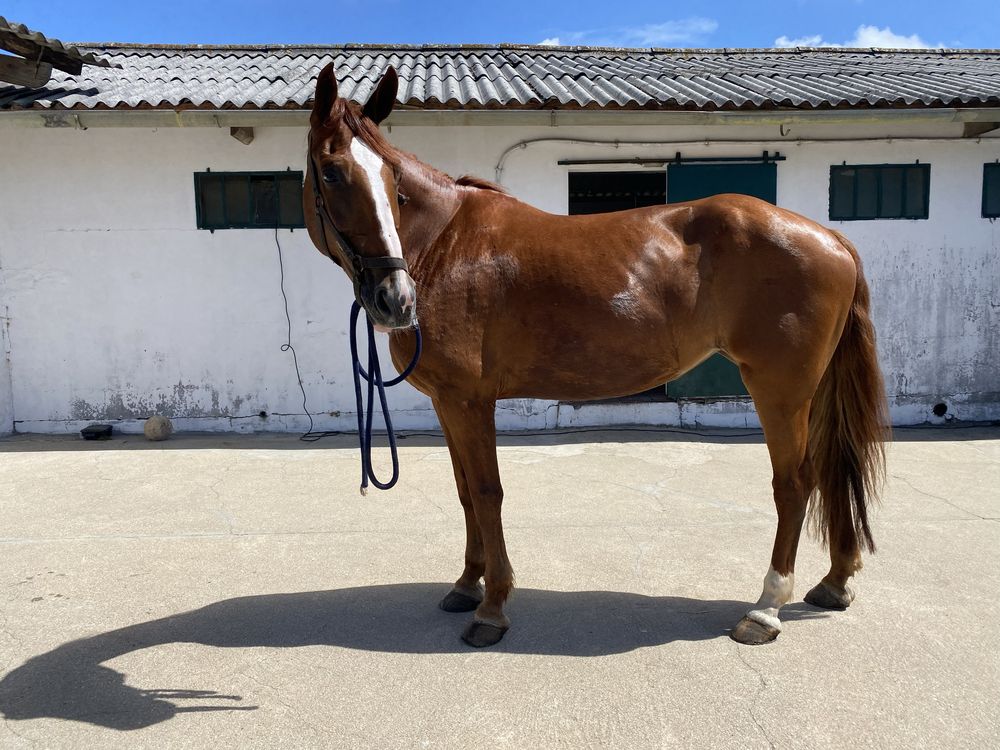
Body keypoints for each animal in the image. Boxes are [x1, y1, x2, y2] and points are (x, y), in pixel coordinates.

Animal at [304, 64, 892, 648]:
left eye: (393, 185)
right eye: (332, 174)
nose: (396, 300)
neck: (443, 245)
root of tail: (830, 236)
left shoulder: (471, 402)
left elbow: (489, 492)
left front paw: (492, 608)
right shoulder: (447, 403)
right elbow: (466, 492)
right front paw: (467, 586)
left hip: (780, 389)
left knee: (794, 484)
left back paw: (766, 609)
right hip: (811, 389)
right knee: (829, 471)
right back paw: (833, 583)